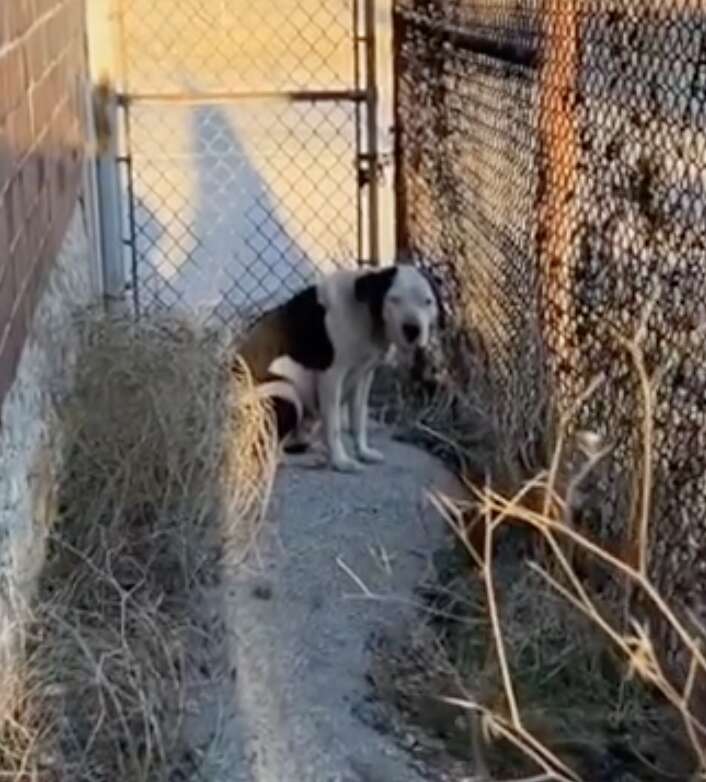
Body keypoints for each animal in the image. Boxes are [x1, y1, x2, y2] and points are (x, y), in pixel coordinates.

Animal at [239, 266, 442, 472]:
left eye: (428, 302)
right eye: (394, 299)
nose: (412, 329)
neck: (366, 312)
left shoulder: (363, 377)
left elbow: (358, 421)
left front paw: (363, 452)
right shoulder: (332, 377)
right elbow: (334, 426)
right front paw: (340, 461)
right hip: (287, 393)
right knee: (271, 454)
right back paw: (308, 459)